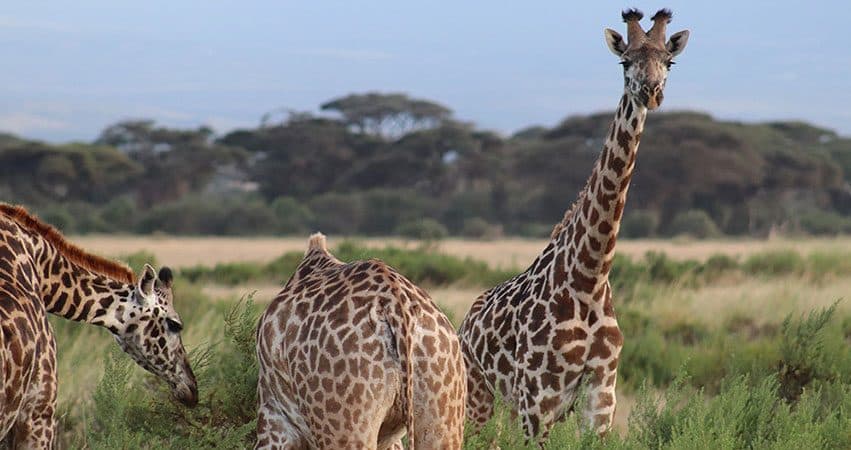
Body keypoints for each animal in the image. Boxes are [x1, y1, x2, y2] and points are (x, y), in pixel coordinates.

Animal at [458, 8, 690, 442]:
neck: (589, 278)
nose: (650, 92)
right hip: (480, 398)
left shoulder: (600, 396)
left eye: (669, 62)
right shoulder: (539, 398)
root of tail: (464, 324)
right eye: (624, 62)